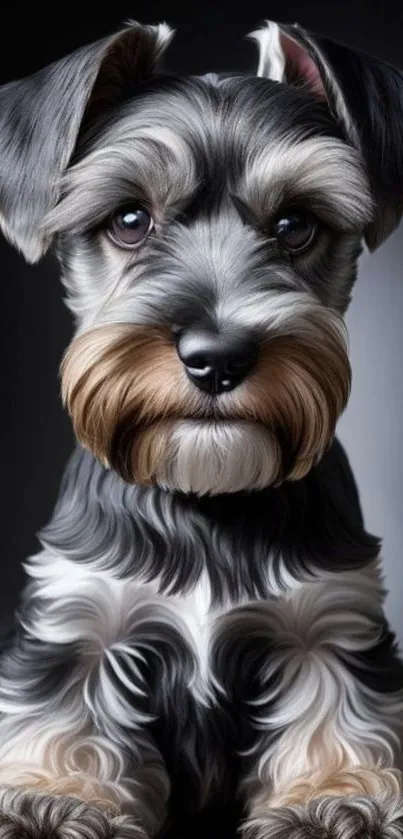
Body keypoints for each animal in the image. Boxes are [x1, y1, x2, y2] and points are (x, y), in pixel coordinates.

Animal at [0, 16, 403, 839]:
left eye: (295, 225)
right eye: (129, 219)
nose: (217, 358)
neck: (204, 496)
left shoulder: (327, 619)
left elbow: (335, 710)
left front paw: (330, 795)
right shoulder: (81, 615)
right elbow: (64, 716)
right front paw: (57, 795)